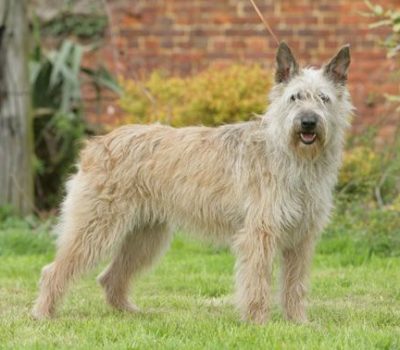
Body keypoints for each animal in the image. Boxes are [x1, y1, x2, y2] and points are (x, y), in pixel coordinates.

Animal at [33, 42, 354, 324]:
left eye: (324, 98)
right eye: (294, 98)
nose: (308, 122)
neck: (293, 156)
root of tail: (97, 143)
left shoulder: (302, 239)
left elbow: (295, 285)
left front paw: (299, 323)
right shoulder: (259, 234)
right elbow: (257, 284)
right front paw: (259, 323)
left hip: (145, 237)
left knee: (110, 276)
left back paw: (128, 313)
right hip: (95, 228)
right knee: (53, 270)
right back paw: (43, 314)